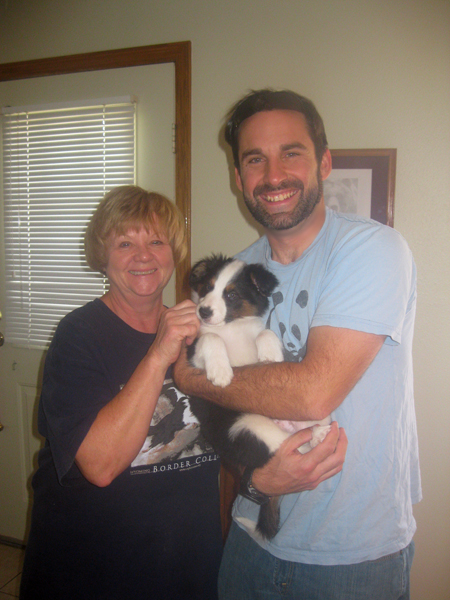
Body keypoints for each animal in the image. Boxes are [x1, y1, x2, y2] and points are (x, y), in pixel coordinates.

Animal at [186, 253, 330, 540]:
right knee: (296, 447)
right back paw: (317, 437)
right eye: (206, 287)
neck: (232, 327)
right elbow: (210, 338)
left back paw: (320, 432)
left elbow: (266, 331)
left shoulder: (255, 331)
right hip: (251, 428)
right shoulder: (193, 355)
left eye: (231, 295)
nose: (203, 312)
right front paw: (221, 373)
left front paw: (271, 355)